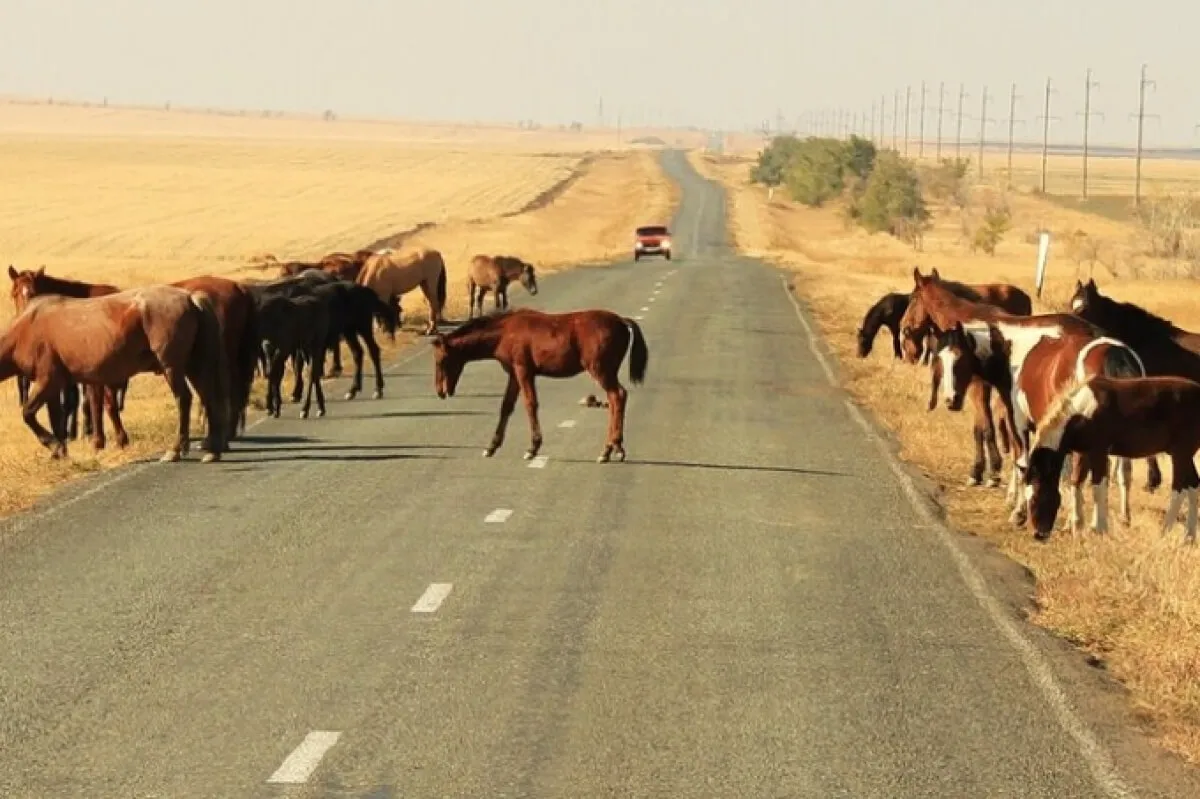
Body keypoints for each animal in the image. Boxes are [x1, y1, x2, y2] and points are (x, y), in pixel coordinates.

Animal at [0, 286, 229, 460]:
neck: (27, 326)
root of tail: (190, 298)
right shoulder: (54, 387)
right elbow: (56, 419)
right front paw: (59, 451)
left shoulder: (48, 381)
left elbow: (28, 413)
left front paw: (53, 445)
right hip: (194, 366)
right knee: (208, 397)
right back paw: (213, 450)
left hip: (172, 368)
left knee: (184, 399)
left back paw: (176, 449)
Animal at [434, 307, 648, 463]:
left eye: (441, 360)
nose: (441, 391)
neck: (505, 333)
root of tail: (622, 321)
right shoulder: (514, 374)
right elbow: (506, 406)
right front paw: (491, 447)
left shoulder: (523, 371)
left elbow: (530, 404)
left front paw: (532, 448)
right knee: (614, 399)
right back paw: (611, 449)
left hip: (600, 370)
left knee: (618, 396)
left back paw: (612, 449)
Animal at [1022, 374, 1200, 542]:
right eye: (1028, 499)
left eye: (1036, 498)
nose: (1038, 534)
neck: (1083, 413)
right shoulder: (1083, 453)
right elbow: (1076, 482)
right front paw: (1077, 527)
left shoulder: (1098, 452)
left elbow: (1098, 486)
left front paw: (1099, 529)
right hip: (1185, 455)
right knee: (1193, 486)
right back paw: (1188, 537)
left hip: (1180, 454)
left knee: (1179, 489)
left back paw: (1164, 532)